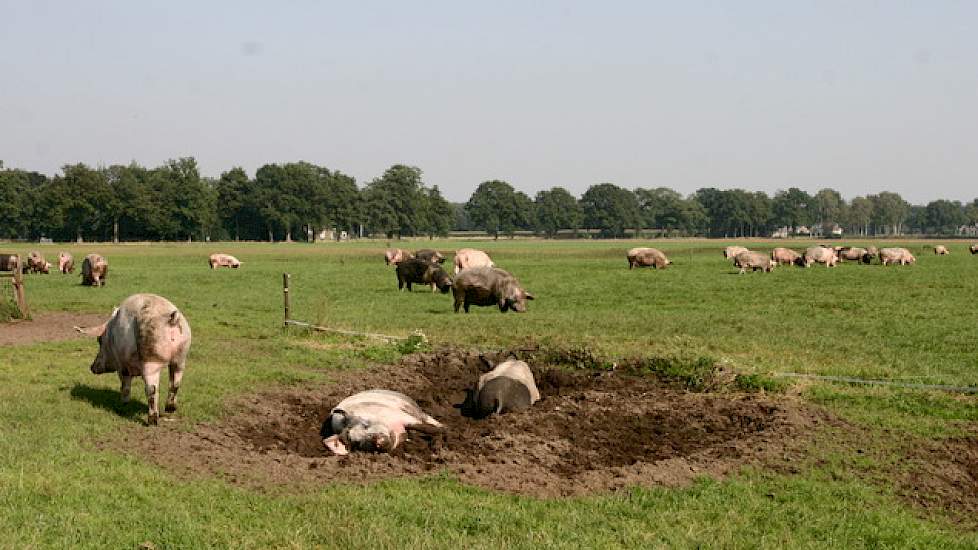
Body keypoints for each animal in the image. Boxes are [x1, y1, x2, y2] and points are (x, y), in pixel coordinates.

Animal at [75, 294, 192, 426]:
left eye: (99, 340)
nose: (91, 367)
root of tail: (172, 318)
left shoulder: (122, 364)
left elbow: (125, 384)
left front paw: (123, 404)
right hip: (181, 356)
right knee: (175, 383)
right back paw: (170, 409)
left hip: (151, 358)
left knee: (152, 389)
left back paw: (152, 421)